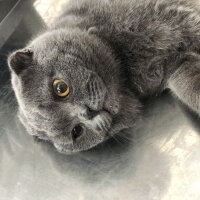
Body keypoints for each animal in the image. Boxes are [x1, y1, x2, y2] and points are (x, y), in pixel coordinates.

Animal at [7, 0, 200, 153]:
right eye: (77, 131)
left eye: (61, 88)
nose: (88, 112)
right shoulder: (176, 68)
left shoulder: (175, 16)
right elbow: (190, 89)